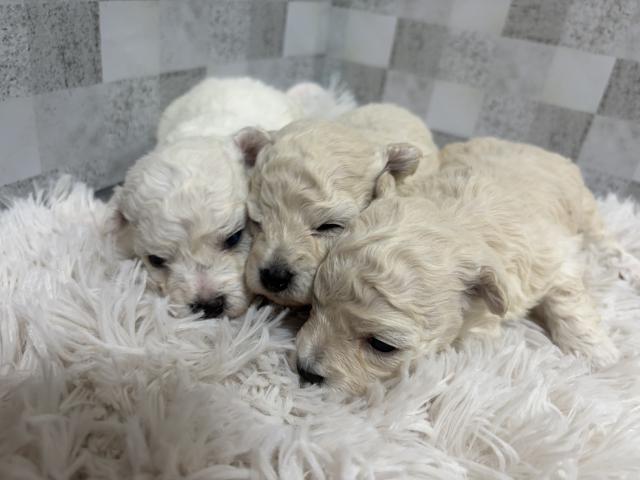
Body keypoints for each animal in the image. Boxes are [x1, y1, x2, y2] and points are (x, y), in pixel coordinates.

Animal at [296, 137, 638, 394]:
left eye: (382, 346)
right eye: (314, 305)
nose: (305, 370)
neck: (455, 216)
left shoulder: (551, 259)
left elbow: (568, 303)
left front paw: (598, 357)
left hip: (583, 205)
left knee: (601, 237)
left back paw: (626, 267)